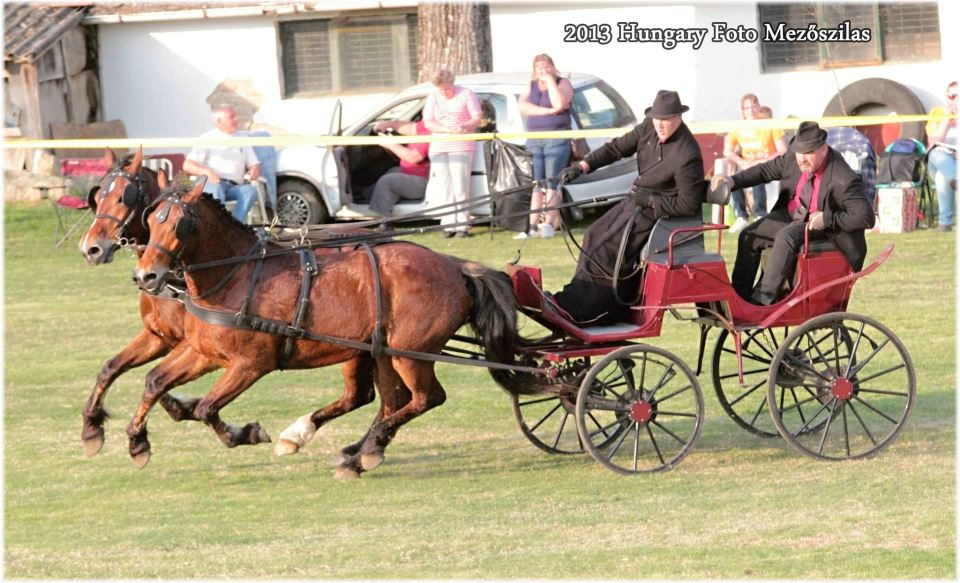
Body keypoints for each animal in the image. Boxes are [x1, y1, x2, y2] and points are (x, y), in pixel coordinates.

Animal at [79, 149, 384, 466]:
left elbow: (162, 385)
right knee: (361, 396)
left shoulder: (192, 344)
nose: (91, 248)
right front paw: (93, 428)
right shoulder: (160, 337)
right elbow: (118, 370)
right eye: (98, 195)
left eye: (124, 197)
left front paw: (189, 412)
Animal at [130, 179, 528, 480]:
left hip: (410, 354)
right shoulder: (203, 352)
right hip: (377, 350)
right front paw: (137, 442)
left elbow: (206, 409)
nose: (145, 276)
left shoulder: (249, 365)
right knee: (382, 399)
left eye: (180, 224)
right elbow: (154, 381)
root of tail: (456, 267)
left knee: (425, 398)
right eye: (151, 221)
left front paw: (245, 434)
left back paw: (364, 450)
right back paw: (348, 450)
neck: (238, 275)